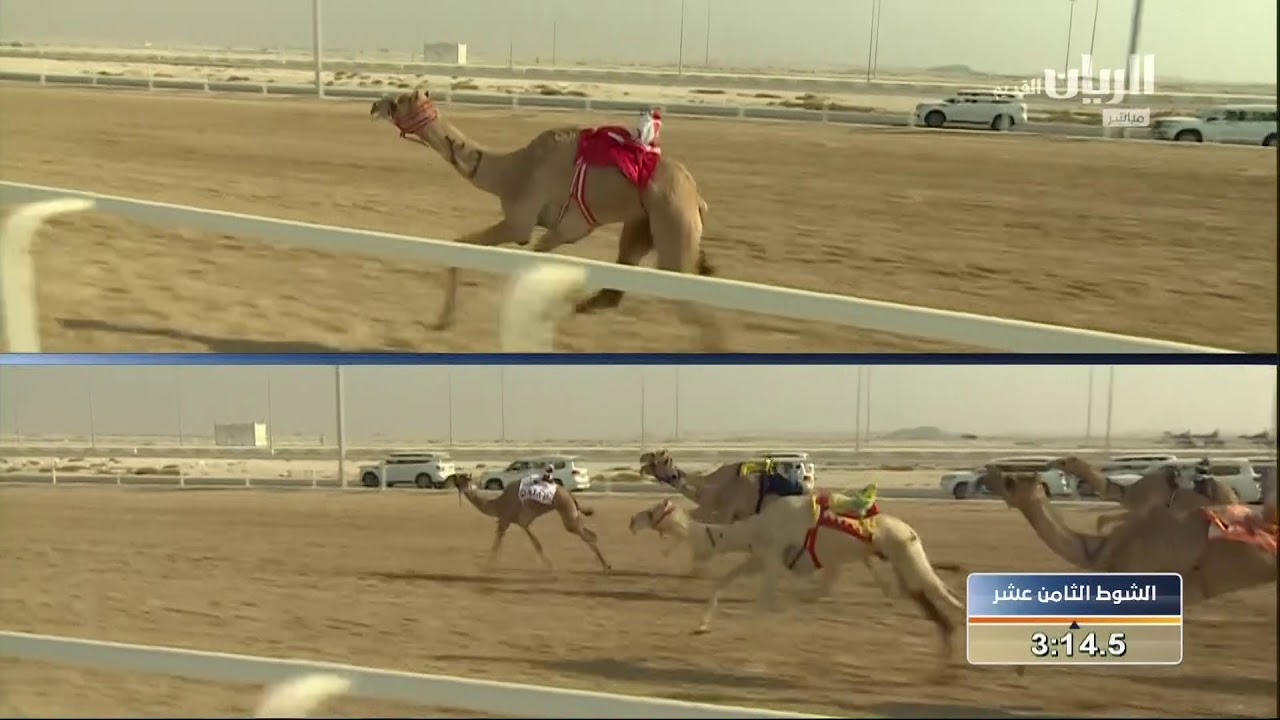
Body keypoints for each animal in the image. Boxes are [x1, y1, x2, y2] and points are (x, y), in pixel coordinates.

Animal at [369, 90, 725, 350]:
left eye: (400, 100)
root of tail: (699, 201)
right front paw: (443, 321)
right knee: (613, 290)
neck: (512, 171)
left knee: (698, 308)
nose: (376, 104)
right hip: (642, 223)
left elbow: (482, 251)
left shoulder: (523, 221)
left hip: (673, 227)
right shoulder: (561, 230)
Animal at [454, 473, 611, 573]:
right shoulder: (523, 523)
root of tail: (570, 495)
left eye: (462, 479)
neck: (498, 504)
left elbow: (496, 545)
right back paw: (604, 565)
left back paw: (606, 566)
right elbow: (537, 544)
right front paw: (549, 566)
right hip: (573, 514)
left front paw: (486, 566)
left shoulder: (505, 520)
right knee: (591, 534)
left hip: (567, 513)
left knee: (587, 536)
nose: (456, 483)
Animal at [626, 495, 965, 671]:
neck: (754, 528)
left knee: (941, 592)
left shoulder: (774, 560)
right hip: (888, 561)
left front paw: (750, 660)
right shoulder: (761, 558)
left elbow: (764, 604)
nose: (631, 521)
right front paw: (701, 626)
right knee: (918, 595)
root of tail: (911, 532)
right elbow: (724, 582)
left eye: (652, 511)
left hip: (908, 557)